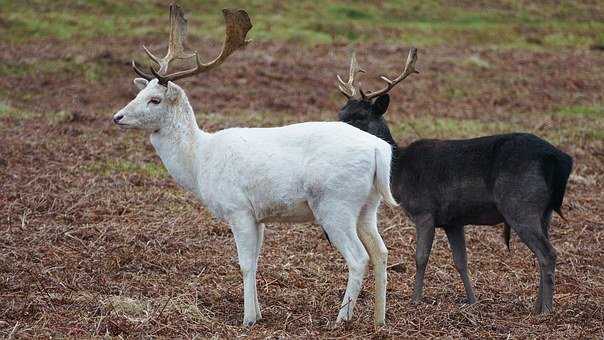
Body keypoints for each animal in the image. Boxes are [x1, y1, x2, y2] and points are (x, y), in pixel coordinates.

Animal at [112, 4, 396, 324]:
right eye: (138, 93)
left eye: (155, 99)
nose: (117, 117)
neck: (200, 161)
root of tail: (379, 149)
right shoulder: (259, 216)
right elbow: (257, 261)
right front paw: (258, 313)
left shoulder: (238, 208)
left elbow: (245, 263)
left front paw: (247, 318)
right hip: (368, 205)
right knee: (381, 251)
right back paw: (379, 319)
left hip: (336, 203)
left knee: (359, 257)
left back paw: (341, 318)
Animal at [338, 48, 572, 314]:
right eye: (341, 112)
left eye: (360, 117)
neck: (398, 170)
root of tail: (559, 159)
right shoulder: (453, 220)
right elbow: (461, 261)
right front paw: (472, 300)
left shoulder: (424, 211)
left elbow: (420, 257)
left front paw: (415, 300)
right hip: (544, 211)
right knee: (544, 252)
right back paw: (536, 306)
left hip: (521, 203)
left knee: (548, 253)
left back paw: (546, 311)